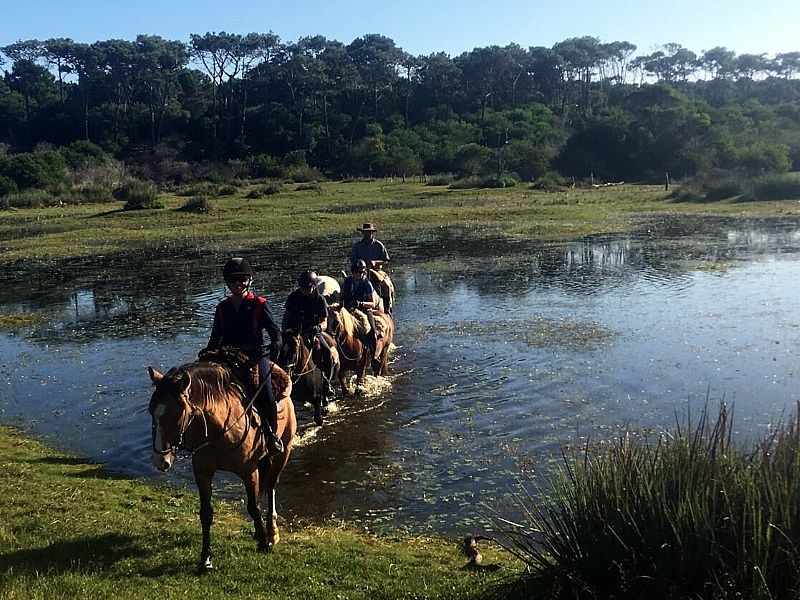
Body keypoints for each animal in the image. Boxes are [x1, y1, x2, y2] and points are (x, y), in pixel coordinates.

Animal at [148, 350, 296, 576]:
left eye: (177, 415)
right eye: (151, 411)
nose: (160, 460)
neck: (219, 427)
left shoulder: (249, 471)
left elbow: (253, 507)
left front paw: (263, 543)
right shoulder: (202, 471)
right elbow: (206, 514)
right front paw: (205, 559)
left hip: (283, 451)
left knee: (271, 485)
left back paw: (271, 532)